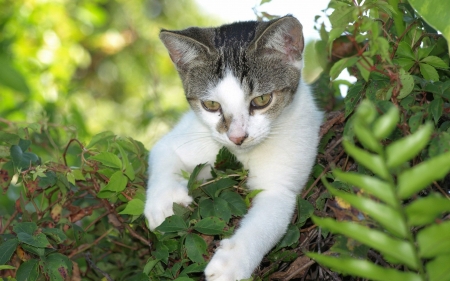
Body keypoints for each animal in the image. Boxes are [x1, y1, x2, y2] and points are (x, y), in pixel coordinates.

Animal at [144, 15, 324, 280]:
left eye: (262, 100)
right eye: (210, 105)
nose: (237, 137)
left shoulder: (280, 186)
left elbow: (265, 222)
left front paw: (231, 263)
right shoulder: (183, 137)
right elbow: (163, 152)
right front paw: (163, 202)